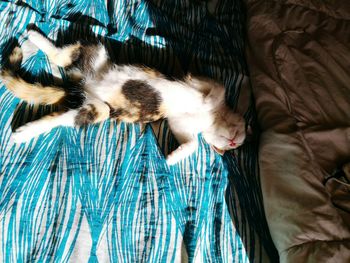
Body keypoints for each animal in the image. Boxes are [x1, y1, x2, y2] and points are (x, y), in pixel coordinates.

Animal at [0, 28, 246, 165]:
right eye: (237, 136)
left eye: (232, 148)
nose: (232, 143)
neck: (209, 120)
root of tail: (79, 86)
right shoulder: (206, 85)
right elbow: (215, 86)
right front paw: (200, 88)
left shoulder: (178, 125)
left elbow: (192, 144)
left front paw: (172, 158)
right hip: (98, 51)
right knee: (62, 55)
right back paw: (33, 35)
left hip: (98, 109)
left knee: (60, 115)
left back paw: (24, 133)